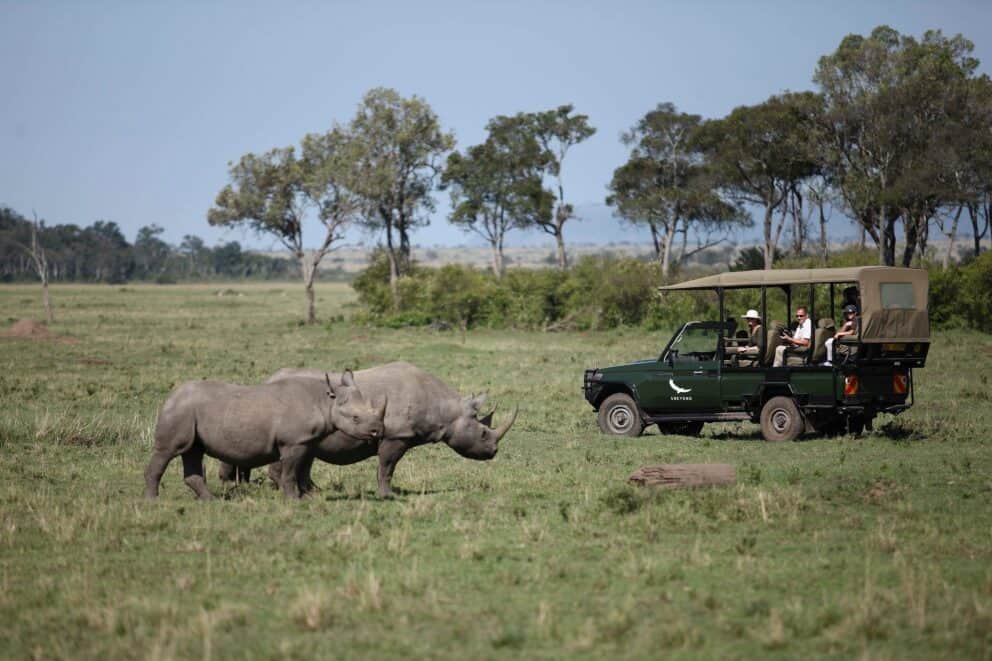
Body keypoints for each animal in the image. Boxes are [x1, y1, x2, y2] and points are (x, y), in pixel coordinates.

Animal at [144, 370, 386, 500]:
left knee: (193, 451)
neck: (325, 401)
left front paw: (306, 497)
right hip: (180, 411)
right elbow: (290, 472)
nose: (378, 431)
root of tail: (170, 396)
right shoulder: (293, 442)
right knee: (168, 451)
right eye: (355, 418)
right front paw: (295, 500)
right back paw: (153, 501)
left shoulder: (306, 441)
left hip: (189, 412)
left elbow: (300, 471)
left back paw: (211, 500)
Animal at [218, 362, 518, 497]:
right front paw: (388, 495)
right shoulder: (396, 435)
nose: (494, 451)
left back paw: (312, 492)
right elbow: (387, 466)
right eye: (483, 434)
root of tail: (267, 381)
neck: (445, 409)